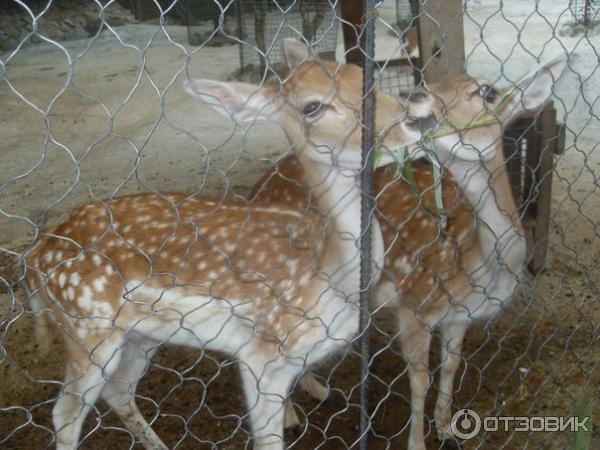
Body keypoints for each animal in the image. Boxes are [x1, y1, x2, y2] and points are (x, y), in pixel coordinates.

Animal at [24, 39, 436, 450]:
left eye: (363, 74)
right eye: (312, 106)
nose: (417, 119)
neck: (330, 274)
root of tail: (33, 258)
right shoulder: (261, 358)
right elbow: (268, 440)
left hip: (138, 336)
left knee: (119, 390)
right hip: (85, 330)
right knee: (64, 414)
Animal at [253, 44, 568, 446]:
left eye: (487, 91)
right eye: (432, 82)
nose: (416, 94)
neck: (476, 265)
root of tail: (258, 186)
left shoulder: (458, 316)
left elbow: (451, 366)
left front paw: (447, 426)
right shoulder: (415, 303)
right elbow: (420, 380)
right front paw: (417, 442)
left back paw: (317, 390)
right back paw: (291, 416)